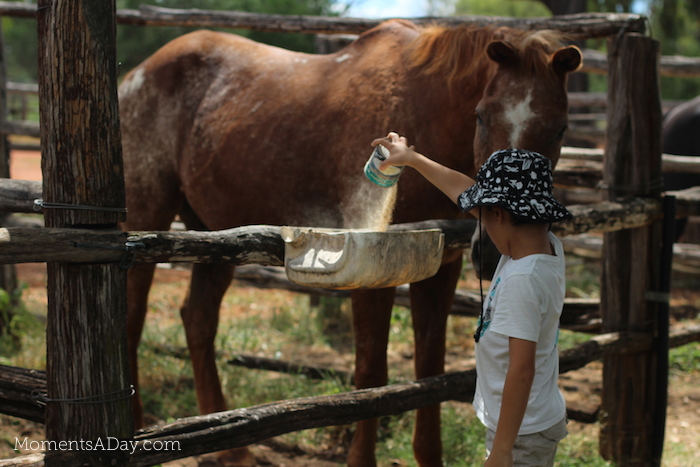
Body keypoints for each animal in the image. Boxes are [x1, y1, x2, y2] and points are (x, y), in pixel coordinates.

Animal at [119, 21, 580, 467]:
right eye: (481, 117)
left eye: (561, 128)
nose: (492, 250)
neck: (424, 108)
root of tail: (132, 77)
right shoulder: (373, 269)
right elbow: (371, 372)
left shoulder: (442, 268)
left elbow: (430, 370)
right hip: (150, 216)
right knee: (135, 318)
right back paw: (137, 433)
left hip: (217, 236)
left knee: (198, 321)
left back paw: (232, 450)